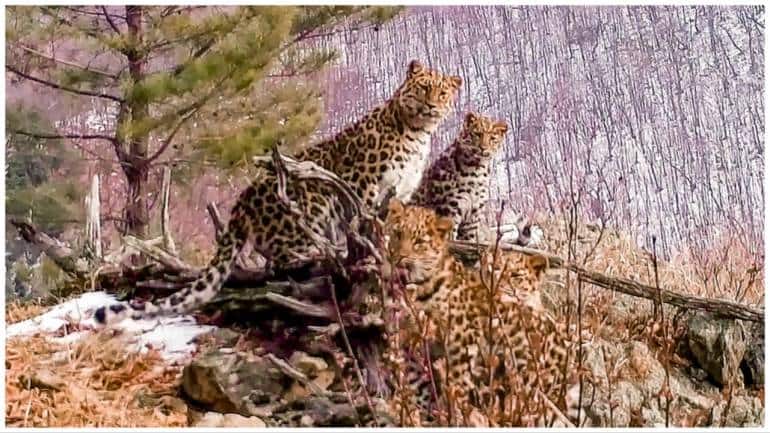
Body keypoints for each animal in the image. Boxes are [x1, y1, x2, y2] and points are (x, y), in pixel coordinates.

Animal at [93, 60, 462, 326]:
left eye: (443, 94)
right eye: (424, 89)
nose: (432, 106)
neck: (417, 134)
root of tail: (241, 203)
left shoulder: (401, 195)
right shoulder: (364, 186)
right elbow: (363, 221)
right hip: (308, 202)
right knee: (281, 258)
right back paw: (316, 253)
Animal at [382, 200, 586, 427]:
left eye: (419, 242)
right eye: (398, 234)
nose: (400, 257)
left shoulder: (459, 346)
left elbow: (457, 387)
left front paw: (456, 416)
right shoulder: (409, 346)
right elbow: (421, 389)